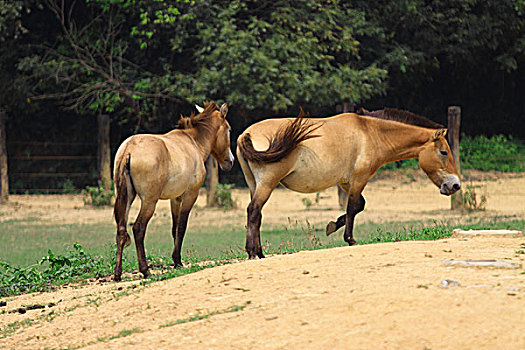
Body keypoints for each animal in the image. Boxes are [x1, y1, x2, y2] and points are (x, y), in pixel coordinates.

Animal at [112, 102, 233, 282]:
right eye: (229, 129)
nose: (230, 161)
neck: (193, 143)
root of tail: (129, 149)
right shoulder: (190, 195)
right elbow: (181, 227)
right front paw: (178, 261)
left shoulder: (175, 199)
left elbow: (174, 228)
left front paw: (175, 261)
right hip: (149, 201)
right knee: (138, 228)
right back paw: (145, 270)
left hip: (127, 199)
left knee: (121, 230)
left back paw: (117, 274)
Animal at [236, 108, 458, 258]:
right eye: (443, 152)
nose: (455, 185)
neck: (371, 133)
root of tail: (245, 135)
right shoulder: (359, 179)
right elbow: (352, 207)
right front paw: (350, 239)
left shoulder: (345, 182)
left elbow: (358, 206)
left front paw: (332, 226)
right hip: (267, 183)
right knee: (254, 211)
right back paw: (253, 253)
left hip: (255, 184)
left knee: (256, 215)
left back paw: (260, 253)